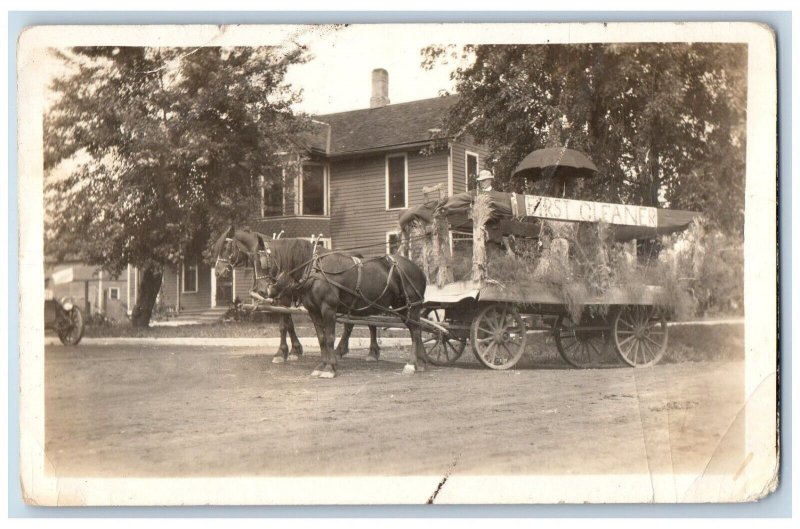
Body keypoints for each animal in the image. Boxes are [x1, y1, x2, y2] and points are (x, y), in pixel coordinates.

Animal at [212, 227, 382, 364]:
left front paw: (282, 352)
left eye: (226, 248)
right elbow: (289, 324)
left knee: (368, 322)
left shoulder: (285, 298)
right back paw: (342, 350)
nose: (218, 272)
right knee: (352, 323)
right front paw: (294, 350)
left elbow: (283, 325)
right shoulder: (279, 298)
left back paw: (371, 352)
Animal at [262, 237, 428, 378]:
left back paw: (411, 364)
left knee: (415, 332)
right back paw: (420, 363)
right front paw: (321, 366)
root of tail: (419, 269)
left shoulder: (328, 309)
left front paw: (330, 368)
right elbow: (321, 338)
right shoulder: (313, 311)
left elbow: (329, 338)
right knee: (415, 330)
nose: (267, 291)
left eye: (264, 263)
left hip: (411, 306)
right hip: (403, 307)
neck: (313, 269)